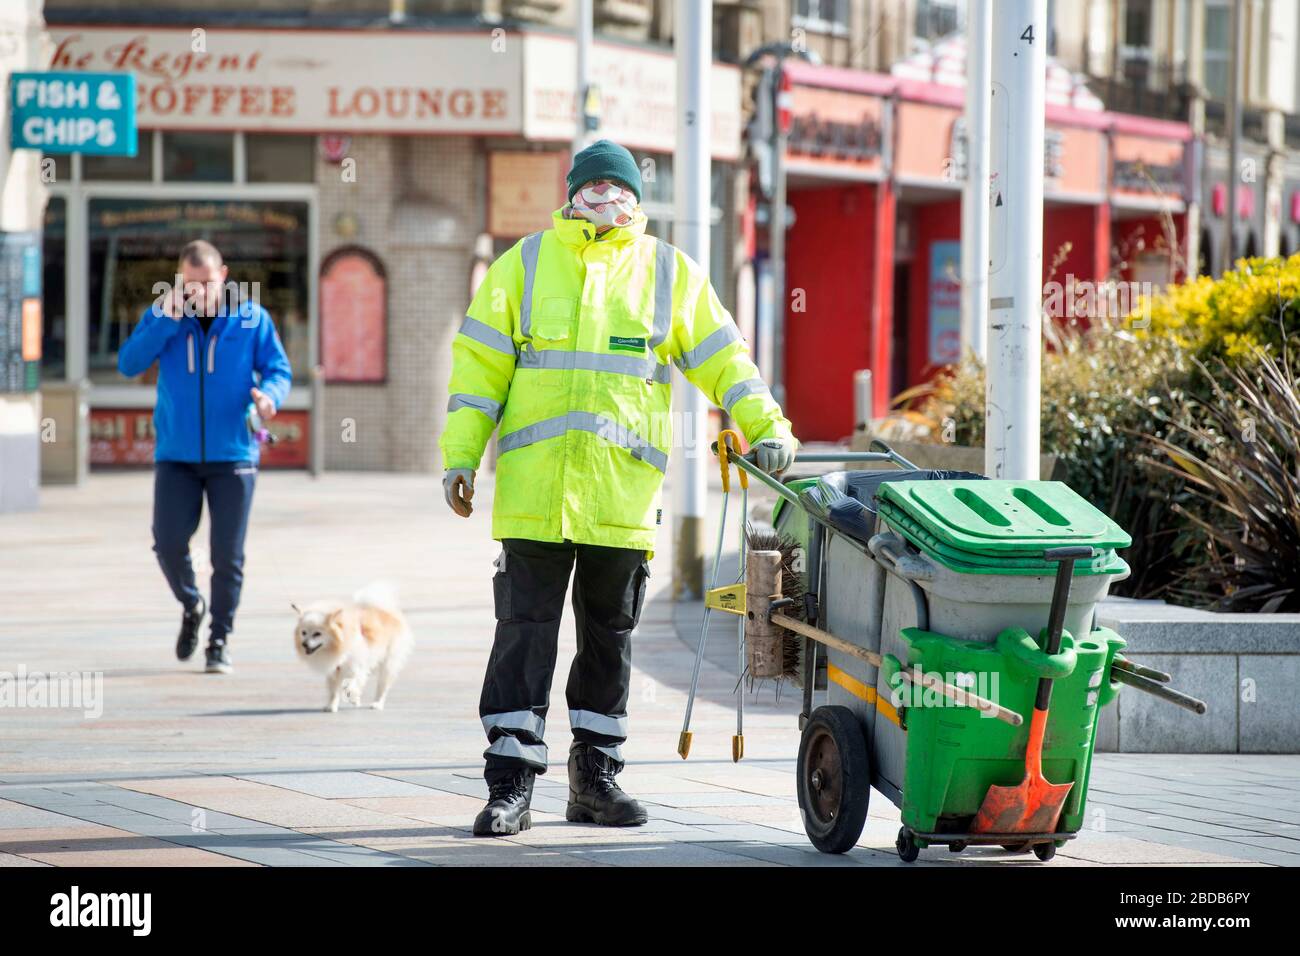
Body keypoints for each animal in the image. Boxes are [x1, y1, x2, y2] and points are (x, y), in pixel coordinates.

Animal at [292, 582, 413, 712]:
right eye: (303, 633)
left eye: (317, 634)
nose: (304, 644)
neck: (338, 647)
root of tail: (385, 610)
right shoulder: (333, 672)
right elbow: (333, 691)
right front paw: (331, 706)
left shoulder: (355, 666)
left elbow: (350, 684)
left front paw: (352, 695)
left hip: (388, 664)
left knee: (382, 686)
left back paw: (377, 704)